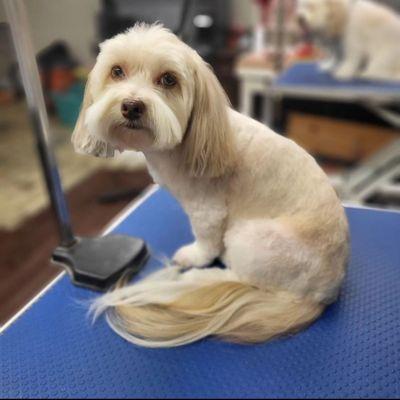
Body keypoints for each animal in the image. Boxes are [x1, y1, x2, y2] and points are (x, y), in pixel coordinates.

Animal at [72, 24, 350, 346]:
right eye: (117, 71)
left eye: (168, 79)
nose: (131, 106)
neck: (186, 142)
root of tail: (324, 292)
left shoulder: (207, 208)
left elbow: (205, 241)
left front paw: (195, 256)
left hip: (252, 238)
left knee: (241, 277)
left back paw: (198, 278)